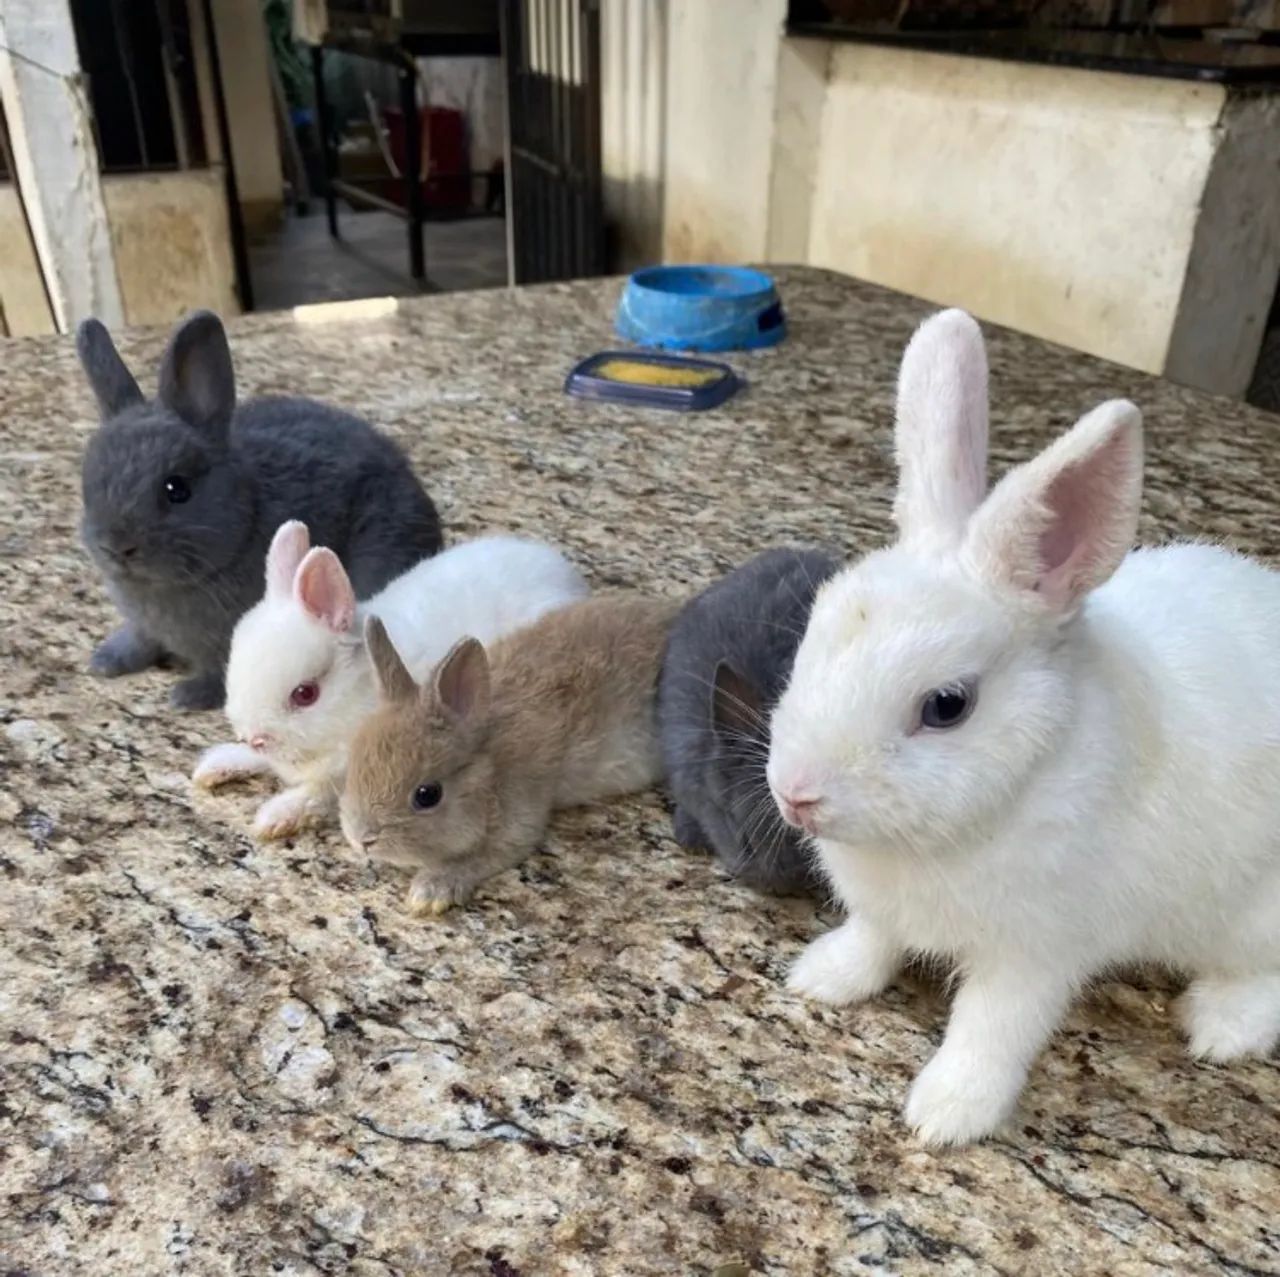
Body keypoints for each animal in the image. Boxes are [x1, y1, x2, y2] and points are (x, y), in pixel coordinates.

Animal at [76, 310, 442, 711]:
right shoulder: (146, 626)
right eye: (89, 482)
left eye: (177, 489)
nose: (116, 546)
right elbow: (140, 639)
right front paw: (105, 661)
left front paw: (188, 696)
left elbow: (220, 671)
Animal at [192, 523, 589, 841]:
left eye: (305, 694)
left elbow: (316, 794)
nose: (255, 737)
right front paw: (215, 766)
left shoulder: (345, 774)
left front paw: (274, 818)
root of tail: (568, 574)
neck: (356, 697)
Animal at [340, 594, 677, 915]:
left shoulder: (519, 816)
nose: (362, 839)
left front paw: (429, 893)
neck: (490, 768)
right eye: (351, 769)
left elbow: (482, 856)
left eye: (427, 795)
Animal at [766, 307, 1280, 1147]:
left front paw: (945, 1115)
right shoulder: (883, 910)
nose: (795, 792)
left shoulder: (1037, 952)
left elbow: (991, 1029)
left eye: (947, 704)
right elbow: (871, 939)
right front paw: (822, 978)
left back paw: (1219, 1025)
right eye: (811, 631)